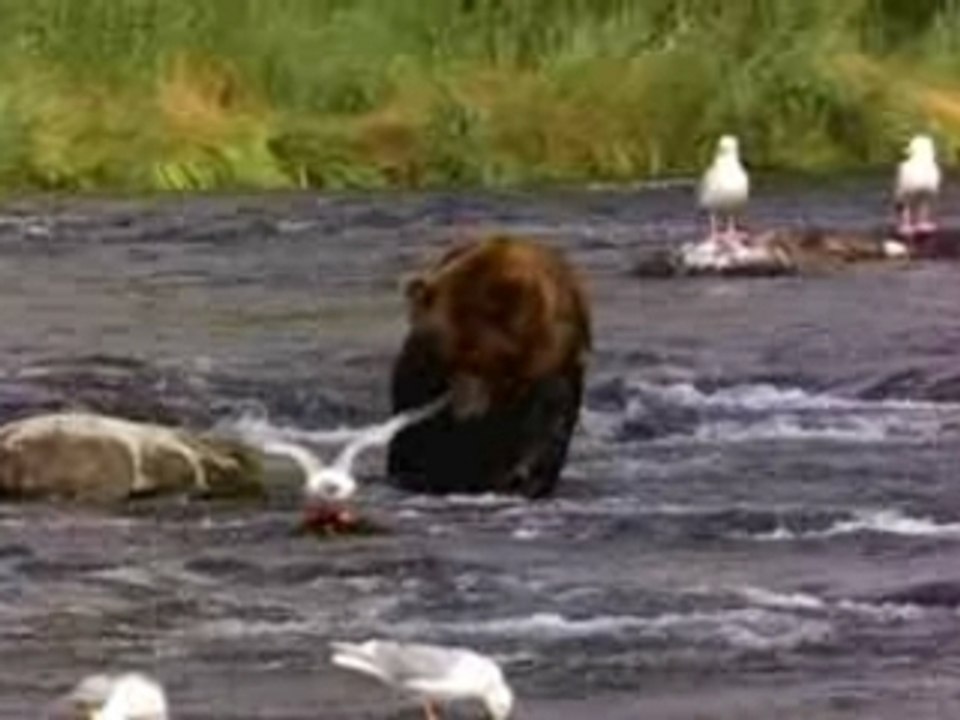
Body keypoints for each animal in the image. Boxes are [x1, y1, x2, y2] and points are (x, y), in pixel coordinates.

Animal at [386, 234, 592, 498]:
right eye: (441, 352)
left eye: (475, 357)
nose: (461, 412)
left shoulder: (552, 362)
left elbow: (545, 421)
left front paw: (520, 478)